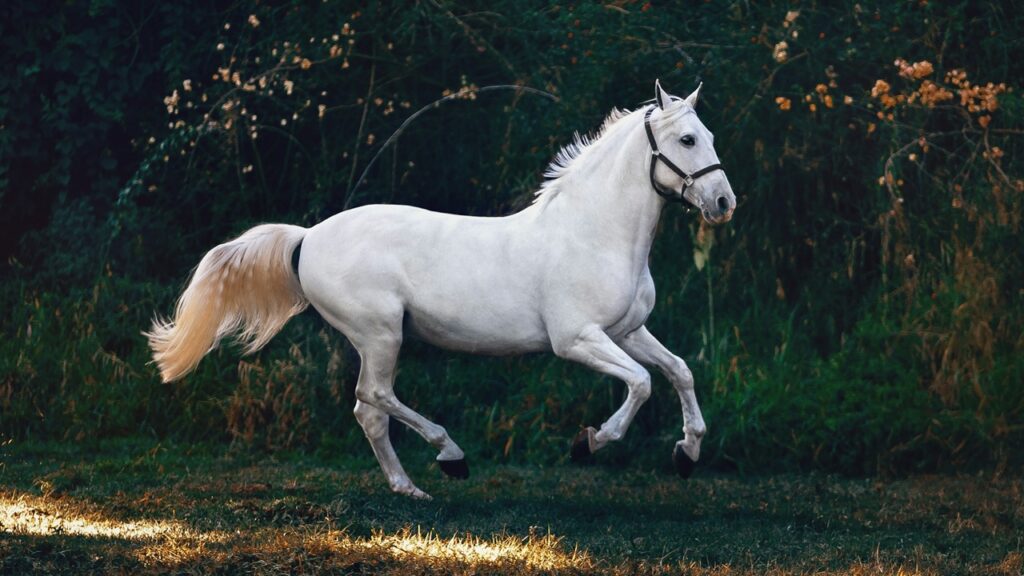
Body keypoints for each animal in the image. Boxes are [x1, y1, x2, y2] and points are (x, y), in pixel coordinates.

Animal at [147, 80, 736, 499]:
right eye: (687, 139)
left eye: (710, 137)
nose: (724, 203)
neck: (594, 232)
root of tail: (308, 237)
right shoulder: (577, 340)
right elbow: (641, 383)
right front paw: (588, 443)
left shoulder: (628, 331)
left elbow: (678, 371)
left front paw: (687, 453)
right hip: (381, 334)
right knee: (374, 397)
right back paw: (450, 456)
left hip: (379, 339)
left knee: (368, 411)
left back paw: (409, 488)